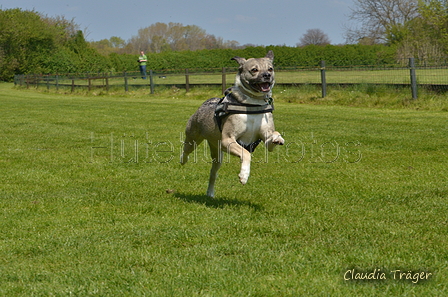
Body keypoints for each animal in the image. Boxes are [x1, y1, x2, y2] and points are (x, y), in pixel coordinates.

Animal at [181, 51, 284, 197]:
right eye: (254, 70)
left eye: (270, 69)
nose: (267, 75)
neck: (253, 103)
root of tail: (205, 104)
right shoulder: (228, 140)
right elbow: (246, 153)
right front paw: (244, 176)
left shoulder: (265, 135)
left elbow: (271, 138)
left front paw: (277, 137)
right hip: (193, 137)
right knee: (186, 150)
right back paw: (183, 160)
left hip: (218, 154)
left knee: (213, 174)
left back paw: (210, 193)